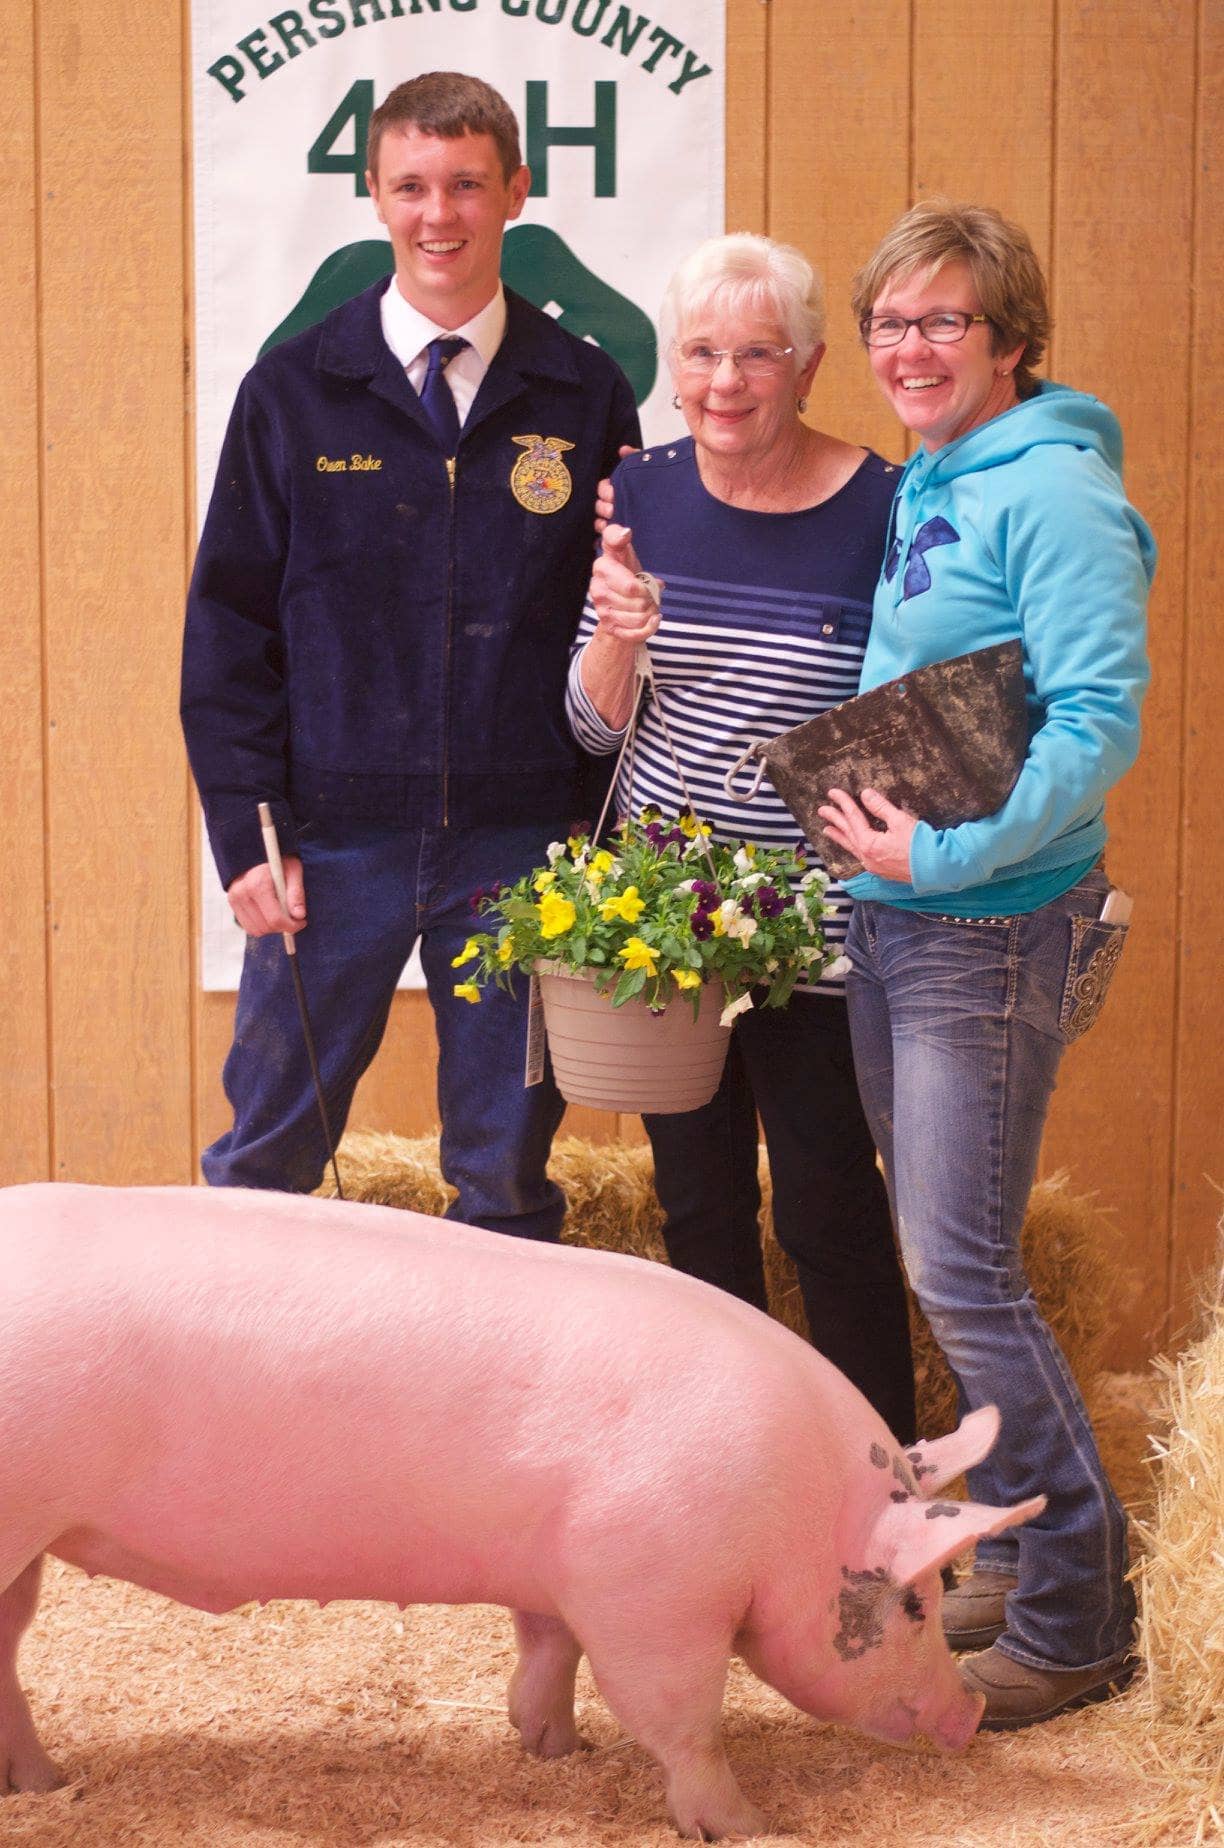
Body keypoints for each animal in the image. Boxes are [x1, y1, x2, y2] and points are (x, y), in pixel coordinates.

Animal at [0, 1182, 1042, 1833]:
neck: (791, 1511)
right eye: (913, 1601)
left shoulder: (566, 1569)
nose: (970, 1715)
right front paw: (748, 1825)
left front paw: (553, 1749)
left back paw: (46, 1784)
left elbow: (548, 1651)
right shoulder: (648, 1593)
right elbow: (681, 1717)